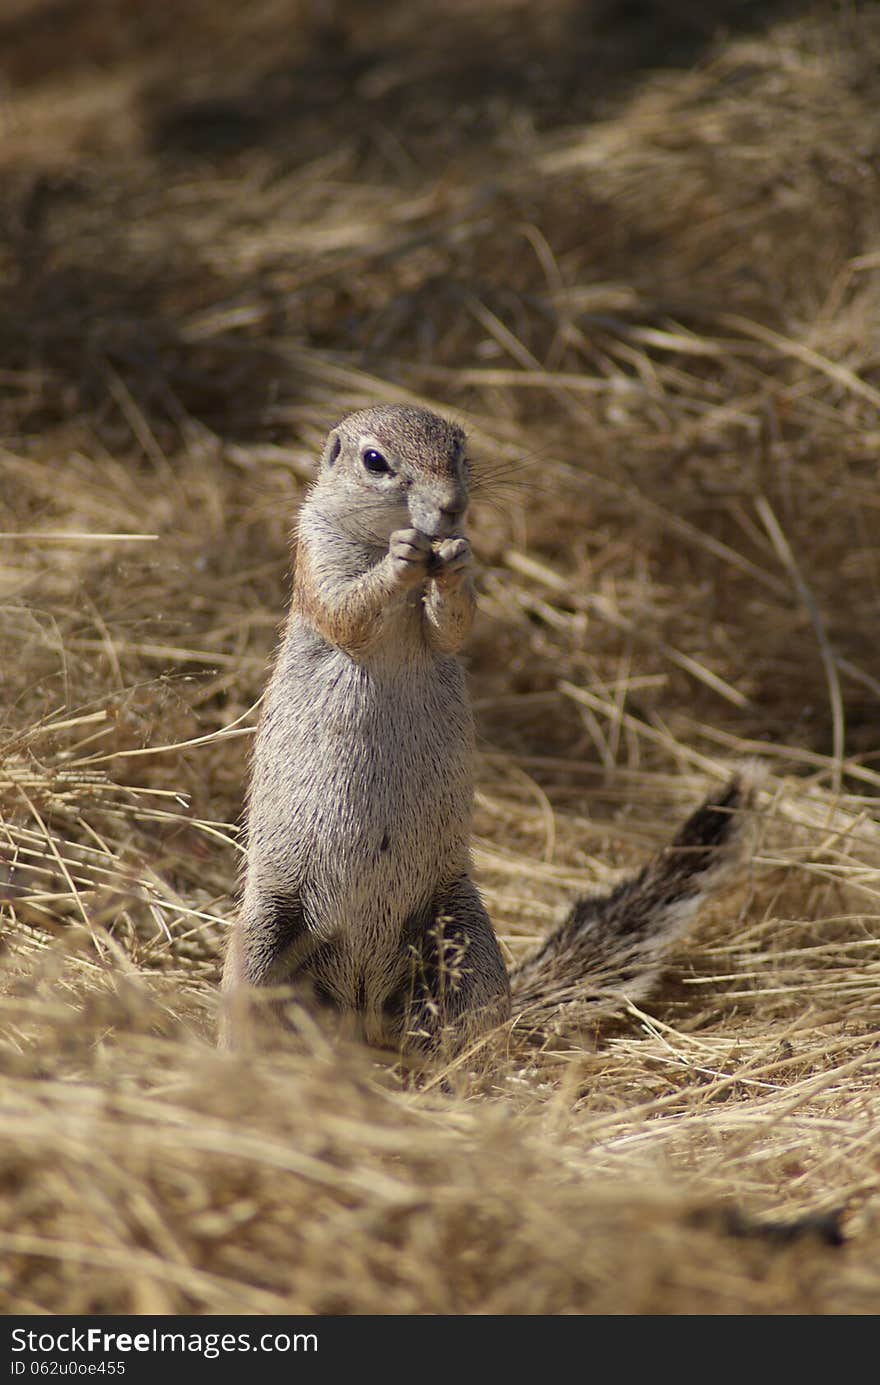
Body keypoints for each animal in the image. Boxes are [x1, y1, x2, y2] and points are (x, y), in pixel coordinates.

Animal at [221, 404, 759, 1052]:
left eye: (460, 450)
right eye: (374, 461)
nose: (453, 507)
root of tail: (363, 1008)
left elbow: (456, 624)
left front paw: (453, 561)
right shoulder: (316, 558)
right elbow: (349, 610)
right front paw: (400, 558)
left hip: (465, 942)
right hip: (263, 942)